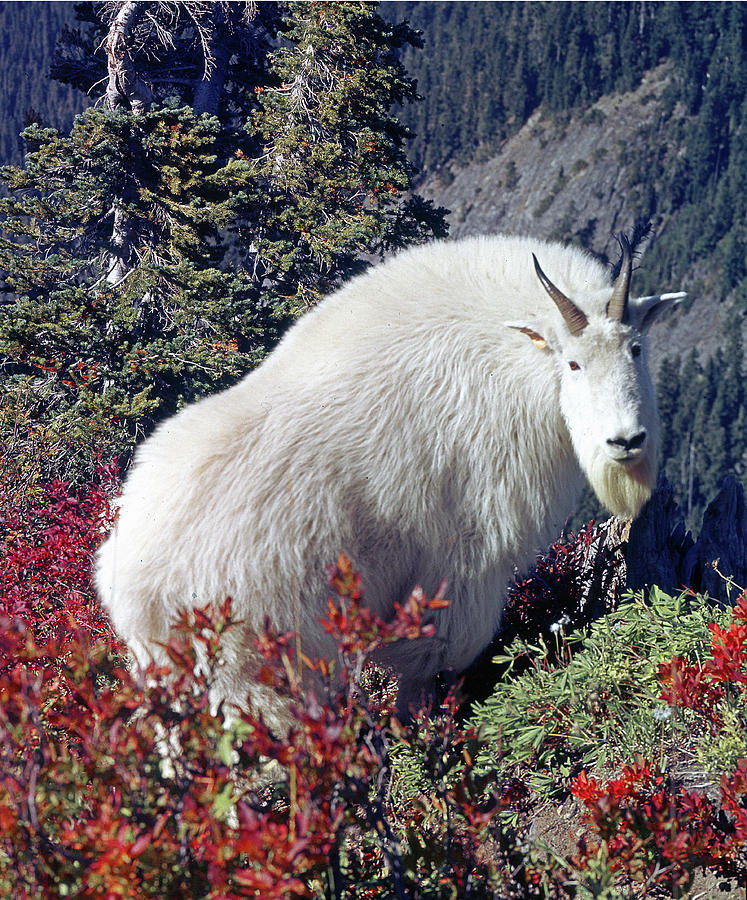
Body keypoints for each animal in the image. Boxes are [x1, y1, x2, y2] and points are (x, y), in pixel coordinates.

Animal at [98, 236, 688, 720]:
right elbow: (435, 657)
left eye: (636, 348)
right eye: (573, 364)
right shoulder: (468, 556)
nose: (625, 441)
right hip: (254, 663)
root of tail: (130, 583)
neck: (515, 357)